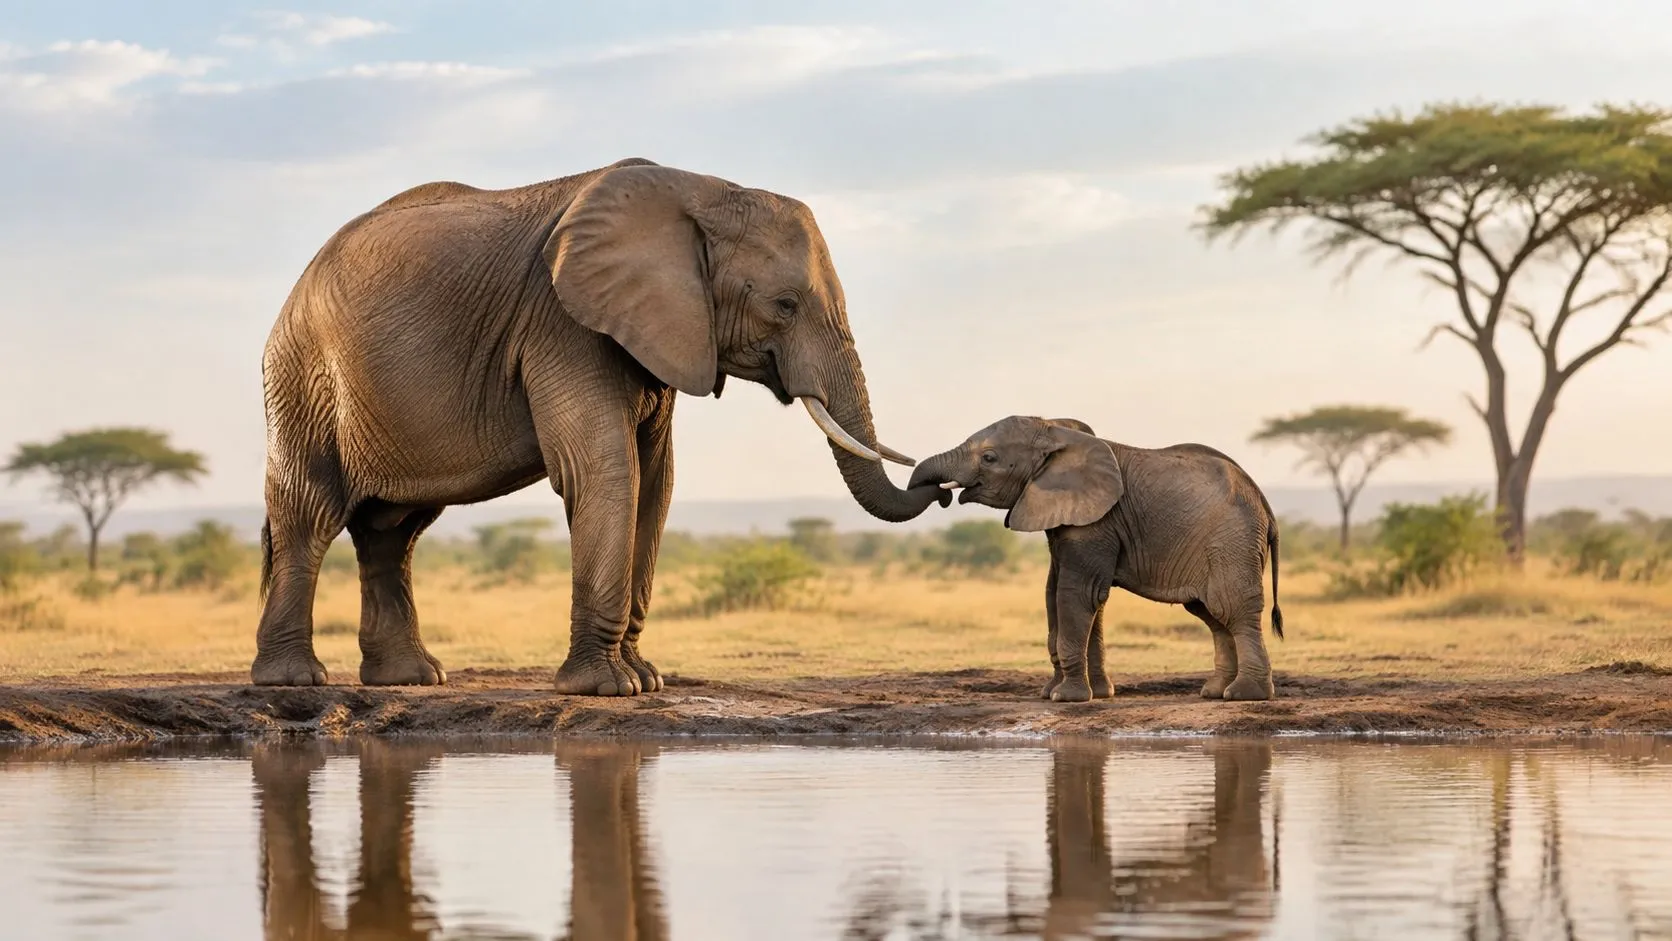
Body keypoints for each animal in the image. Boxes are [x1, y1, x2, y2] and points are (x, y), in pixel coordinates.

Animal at [252, 157, 948, 694]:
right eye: (784, 305)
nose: (937, 484)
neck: (699, 190)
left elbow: (656, 482)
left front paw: (647, 679)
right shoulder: (564, 324)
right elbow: (606, 469)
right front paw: (608, 688)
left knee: (394, 530)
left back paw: (412, 679)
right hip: (303, 374)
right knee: (311, 512)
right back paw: (294, 680)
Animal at [908, 416, 1284, 702]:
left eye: (989, 458)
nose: (943, 496)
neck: (1056, 431)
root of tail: (1264, 503)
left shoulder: (1097, 521)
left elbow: (1077, 593)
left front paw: (1066, 698)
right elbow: (1066, 594)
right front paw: (1080, 693)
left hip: (1231, 540)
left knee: (1231, 608)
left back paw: (1244, 695)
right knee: (1211, 614)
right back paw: (1214, 692)